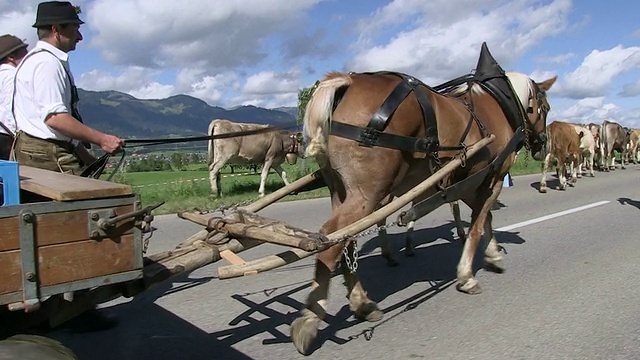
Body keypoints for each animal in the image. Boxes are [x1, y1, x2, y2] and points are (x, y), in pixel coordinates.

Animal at [290, 43, 556, 354]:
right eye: (546, 108)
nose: (542, 145)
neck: (497, 103)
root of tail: (347, 81)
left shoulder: (468, 180)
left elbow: (485, 219)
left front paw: (492, 254)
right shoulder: (492, 177)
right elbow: (479, 224)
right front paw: (467, 275)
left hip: (341, 191)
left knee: (346, 241)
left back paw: (362, 303)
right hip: (367, 193)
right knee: (331, 239)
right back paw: (311, 318)